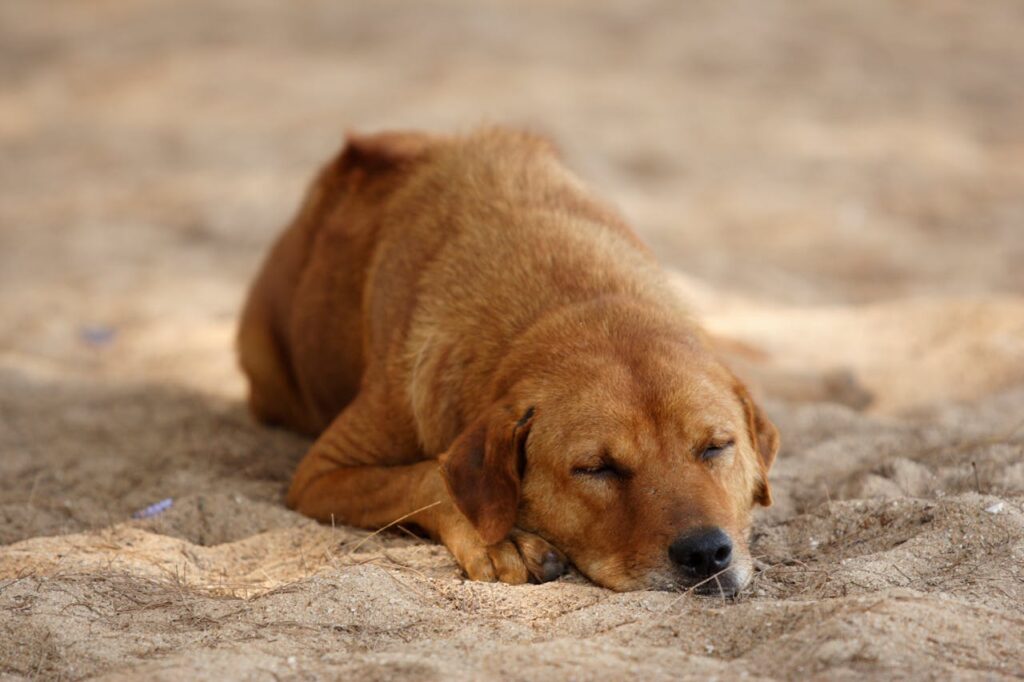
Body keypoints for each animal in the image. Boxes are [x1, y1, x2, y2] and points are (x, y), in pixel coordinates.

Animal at [235, 125, 774, 589]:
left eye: (716, 447)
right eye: (596, 468)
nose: (705, 553)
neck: (572, 300)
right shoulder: (320, 474)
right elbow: (427, 476)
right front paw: (500, 538)